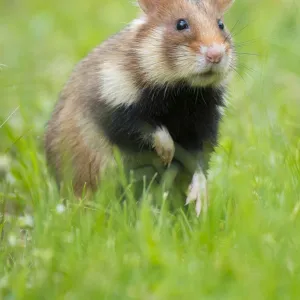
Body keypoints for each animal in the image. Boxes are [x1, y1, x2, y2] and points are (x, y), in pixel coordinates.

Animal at [44, 0, 237, 216]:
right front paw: (167, 155)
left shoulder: (206, 121)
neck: (181, 92)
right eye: (181, 24)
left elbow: (198, 162)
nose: (216, 55)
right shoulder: (113, 108)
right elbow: (149, 130)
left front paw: (199, 200)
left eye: (220, 24)